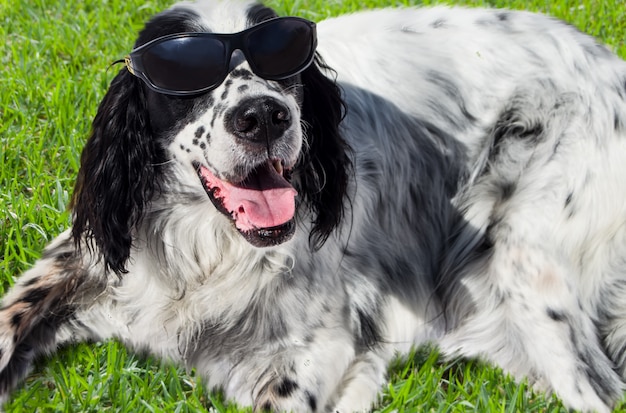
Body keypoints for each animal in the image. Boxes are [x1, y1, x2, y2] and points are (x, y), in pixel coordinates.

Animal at [1, 0, 624, 410]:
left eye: (284, 56)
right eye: (187, 72)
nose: (262, 115)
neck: (207, 253)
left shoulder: (313, 352)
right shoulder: (87, 261)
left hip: (527, 262)